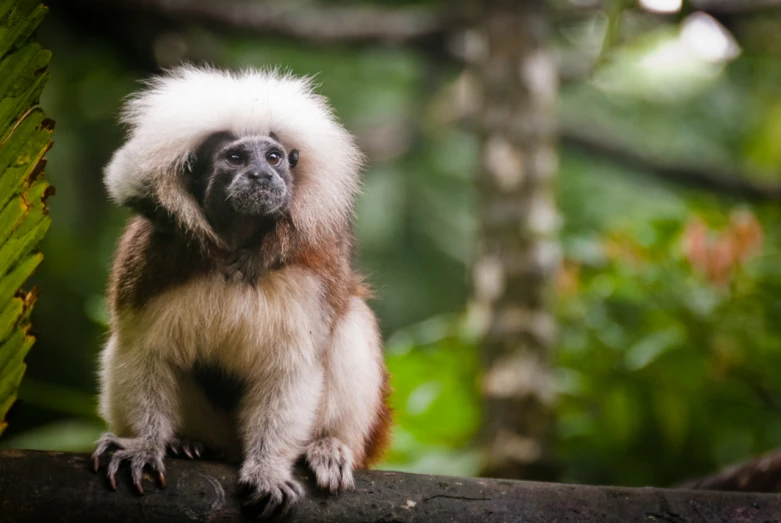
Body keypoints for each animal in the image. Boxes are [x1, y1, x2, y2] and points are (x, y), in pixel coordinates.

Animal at [91, 64, 394, 516]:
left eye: (272, 157)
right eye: (235, 158)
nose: (261, 175)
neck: (235, 245)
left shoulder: (311, 271)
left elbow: (290, 370)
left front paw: (267, 469)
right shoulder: (151, 261)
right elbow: (141, 351)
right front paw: (145, 445)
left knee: (352, 318)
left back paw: (329, 446)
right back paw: (188, 442)